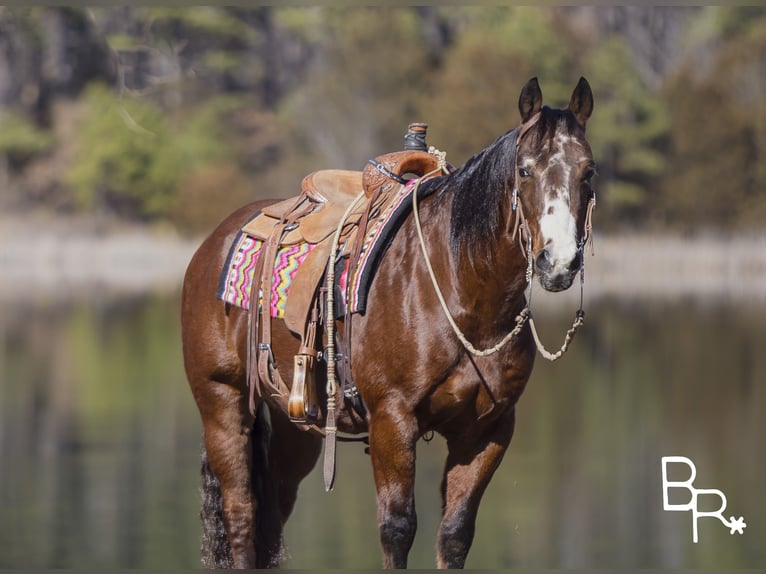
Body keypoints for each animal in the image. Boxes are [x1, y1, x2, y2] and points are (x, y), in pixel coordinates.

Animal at [182, 77, 600, 572]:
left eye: (588, 172)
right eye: (524, 170)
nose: (559, 261)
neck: (459, 292)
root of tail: (215, 240)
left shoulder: (489, 428)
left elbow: (455, 534)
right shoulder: (392, 420)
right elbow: (397, 529)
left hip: (294, 425)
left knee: (271, 517)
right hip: (222, 403)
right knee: (241, 513)